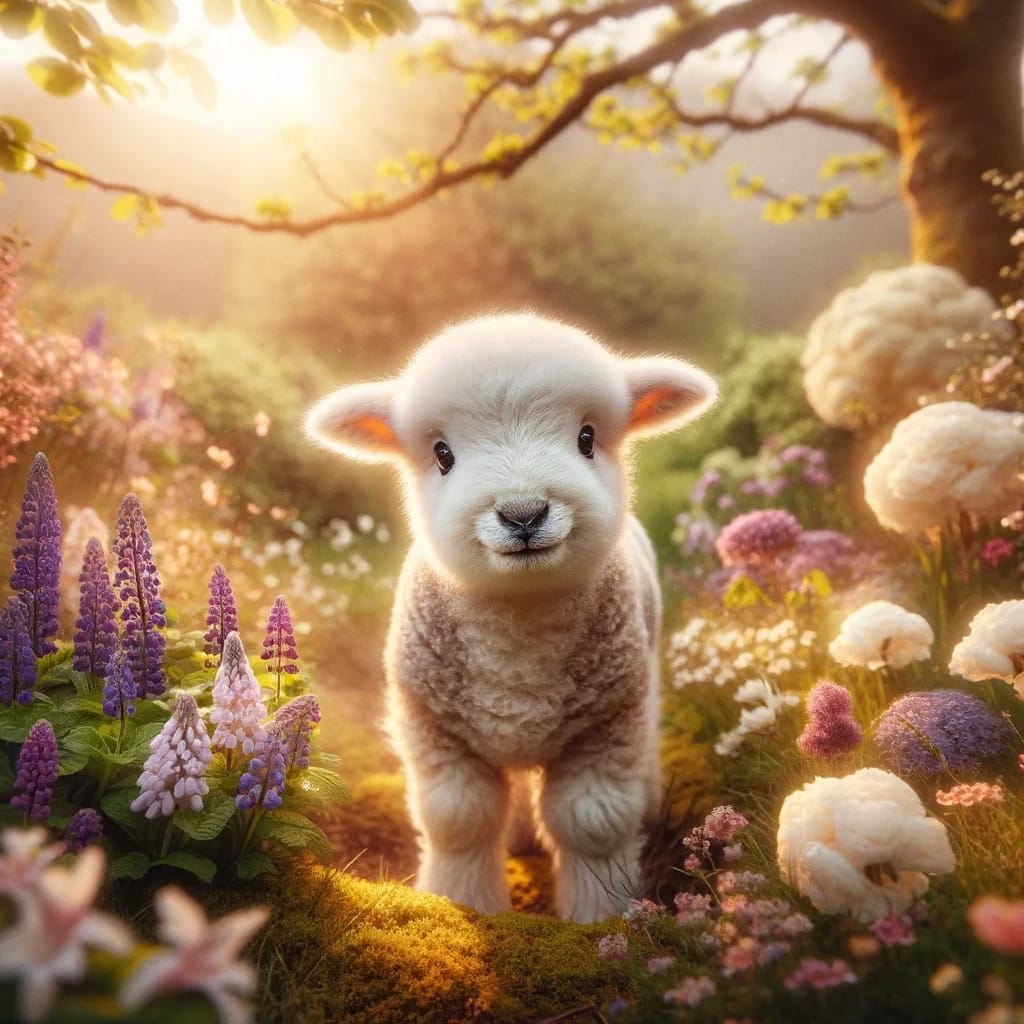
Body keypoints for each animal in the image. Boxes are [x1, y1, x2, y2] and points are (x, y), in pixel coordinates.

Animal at [305, 313, 717, 923]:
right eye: (443, 454)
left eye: (586, 439)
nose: (524, 514)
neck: (519, 639)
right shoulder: (435, 727)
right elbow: (459, 821)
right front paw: (463, 906)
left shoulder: (607, 724)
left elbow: (593, 822)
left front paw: (598, 917)